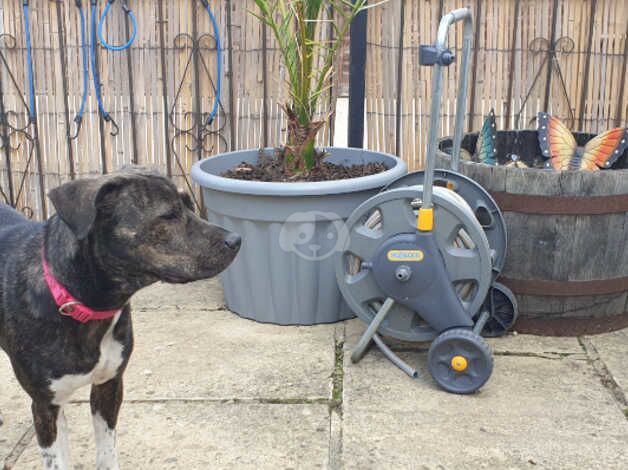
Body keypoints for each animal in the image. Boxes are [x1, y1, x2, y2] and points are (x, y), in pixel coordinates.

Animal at [0, 169, 240, 470]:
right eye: (168, 215)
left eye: (189, 206)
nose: (236, 240)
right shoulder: (44, 405)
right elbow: (56, 456)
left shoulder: (109, 387)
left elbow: (106, 451)